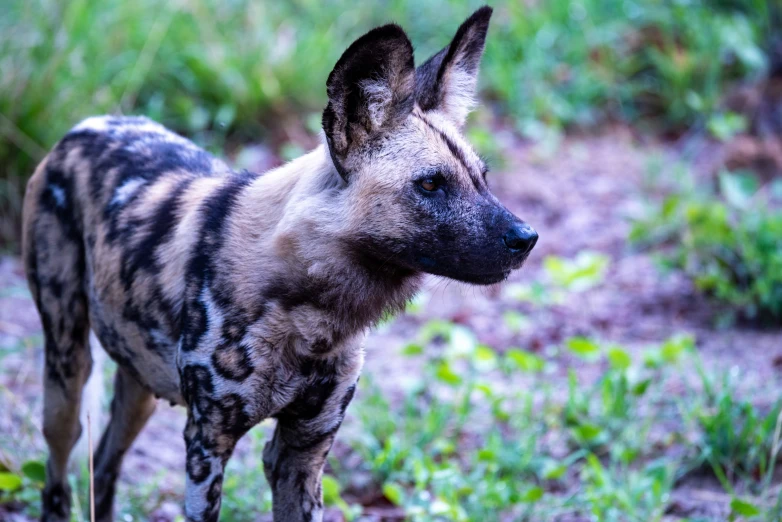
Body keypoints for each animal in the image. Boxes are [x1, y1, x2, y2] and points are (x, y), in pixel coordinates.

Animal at [24, 7, 540, 520]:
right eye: (431, 184)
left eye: (482, 177)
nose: (527, 238)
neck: (312, 314)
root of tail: (89, 124)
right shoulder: (207, 446)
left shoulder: (304, 450)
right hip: (67, 377)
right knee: (59, 471)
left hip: (140, 384)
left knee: (105, 463)